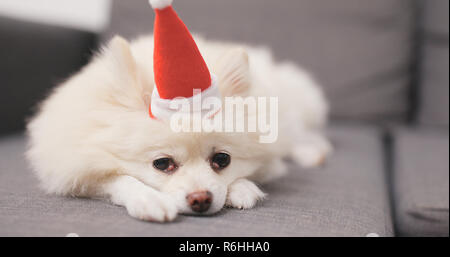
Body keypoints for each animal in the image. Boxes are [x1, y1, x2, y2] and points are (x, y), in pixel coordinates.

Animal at [27, 28, 330, 221]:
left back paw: (313, 151)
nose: (201, 199)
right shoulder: (75, 166)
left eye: (222, 159)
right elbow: (120, 178)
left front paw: (243, 187)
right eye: (162, 164)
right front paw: (147, 199)